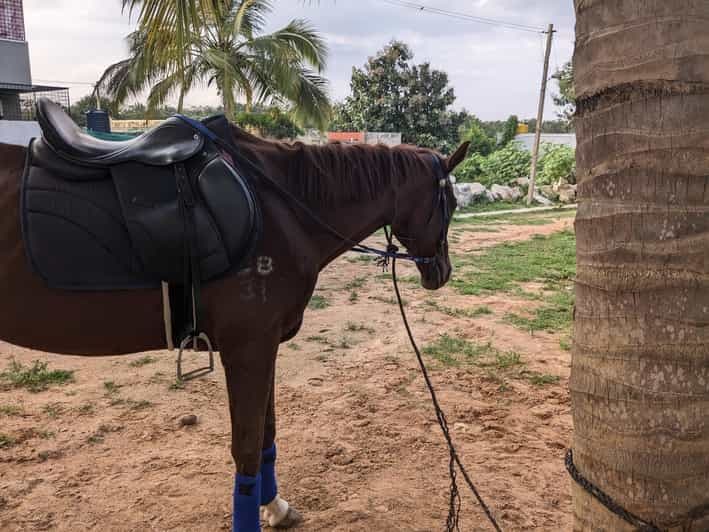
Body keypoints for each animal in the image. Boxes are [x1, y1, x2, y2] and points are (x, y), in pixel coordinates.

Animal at [0, 120, 469, 531]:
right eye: (450, 204)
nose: (441, 272)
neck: (281, 207)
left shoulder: (265, 346)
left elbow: (266, 437)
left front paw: (276, 507)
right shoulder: (248, 349)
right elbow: (245, 448)